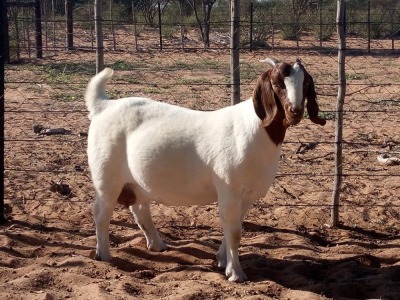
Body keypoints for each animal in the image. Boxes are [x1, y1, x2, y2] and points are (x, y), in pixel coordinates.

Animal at [86, 57, 326, 282]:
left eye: (306, 83)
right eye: (277, 84)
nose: (295, 111)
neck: (257, 130)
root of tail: (104, 106)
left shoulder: (247, 195)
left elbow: (233, 226)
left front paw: (222, 260)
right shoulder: (229, 188)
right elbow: (235, 232)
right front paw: (236, 273)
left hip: (137, 181)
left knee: (139, 207)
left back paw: (156, 244)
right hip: (106, 176)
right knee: (102, 212)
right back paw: (104, 254)